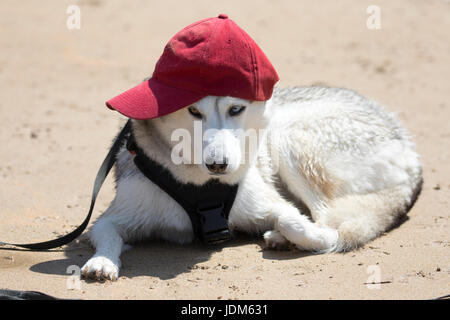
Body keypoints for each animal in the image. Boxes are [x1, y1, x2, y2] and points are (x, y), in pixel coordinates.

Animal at [81, 86, 422, 282]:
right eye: (194, 111)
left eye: (236, 109)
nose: (218, 164)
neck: (199, 185)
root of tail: (407, 143)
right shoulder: (113, 218)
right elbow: (107, 235)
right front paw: (102, 261)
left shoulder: (272, 203)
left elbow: (294, 221)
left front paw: (302, 235)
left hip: (286, 136)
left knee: (330, 218)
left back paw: (284, 238)